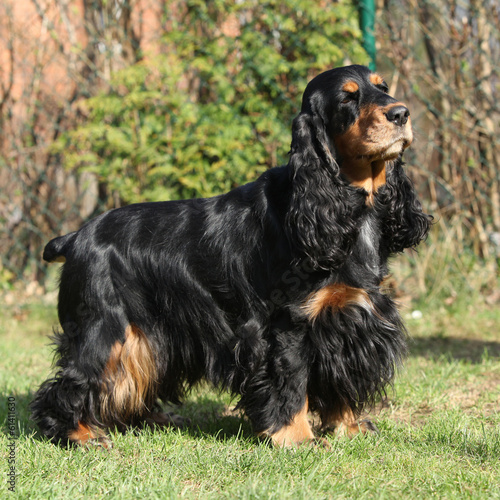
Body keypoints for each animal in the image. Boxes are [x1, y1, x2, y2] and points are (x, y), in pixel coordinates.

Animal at [31, 64, 432, 448]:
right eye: (347, 99)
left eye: (382, 87)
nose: (401, 113)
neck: (344, 205)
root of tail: (75, 237)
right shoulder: (286, 325)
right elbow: (291, 380)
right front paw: (296, 438)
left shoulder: (347, 316)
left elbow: (339, 380)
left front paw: (349, 427)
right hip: (105, 328)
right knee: (70, 383)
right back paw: (79, 435)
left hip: (145, 335)